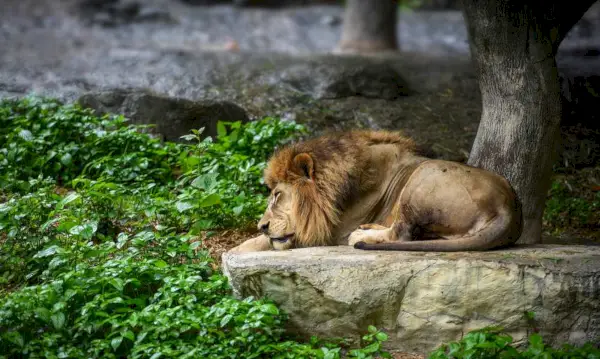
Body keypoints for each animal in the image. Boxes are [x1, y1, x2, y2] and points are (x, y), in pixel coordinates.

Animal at [227, 130, 524, 253]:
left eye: (277, 195)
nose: (262, 225)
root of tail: (508, 208)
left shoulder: (328, 232)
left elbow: (260, 243)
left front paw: (236, 250)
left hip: (422, 177)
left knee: (402, 234)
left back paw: (361, 234)